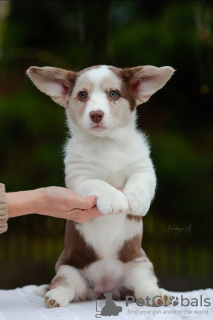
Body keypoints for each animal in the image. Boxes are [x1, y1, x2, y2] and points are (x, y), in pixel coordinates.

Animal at [27, 64, 175, 308]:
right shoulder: (79, 178)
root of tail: (106, 287)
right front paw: (115, 200)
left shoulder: (143, 167)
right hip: (68, 269)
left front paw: (136, 201)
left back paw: (156, 295)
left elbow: (140, 181)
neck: (106, 142)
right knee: (65, 286)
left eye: (113, 94)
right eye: (82, 95)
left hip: (141, 265)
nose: (96, 114)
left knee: (144, 286)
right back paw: (55, 297)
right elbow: (99, 184)